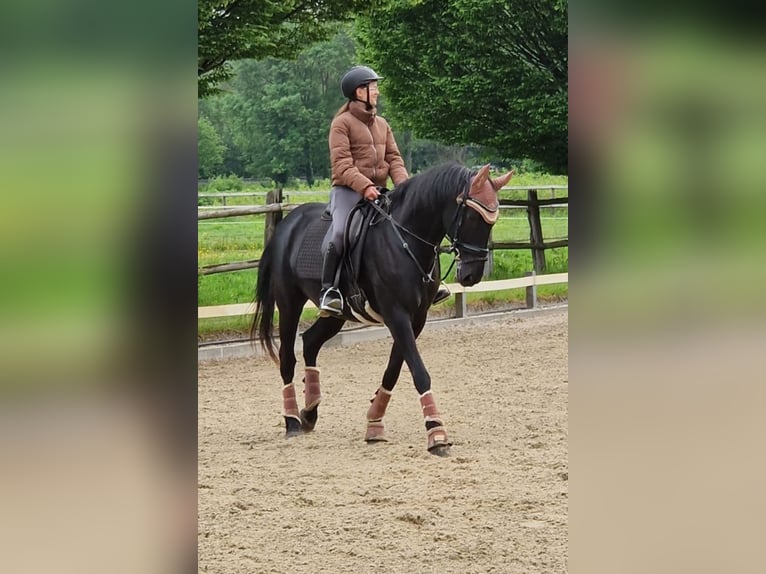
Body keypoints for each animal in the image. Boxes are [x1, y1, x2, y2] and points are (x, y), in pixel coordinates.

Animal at [251, 163, 514, 455]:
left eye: (492, 220)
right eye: (470, 217)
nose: (471, 275)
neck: (406, 239)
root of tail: (286, 225)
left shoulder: (416, 318)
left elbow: (394, 370)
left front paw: (374, 423)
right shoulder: (396, 315)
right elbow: (419, 372)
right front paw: (436, 433)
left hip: (338, 315)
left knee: (310, 342)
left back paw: (309, 413)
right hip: (289, 303)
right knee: (287, 357)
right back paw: (292, 421)